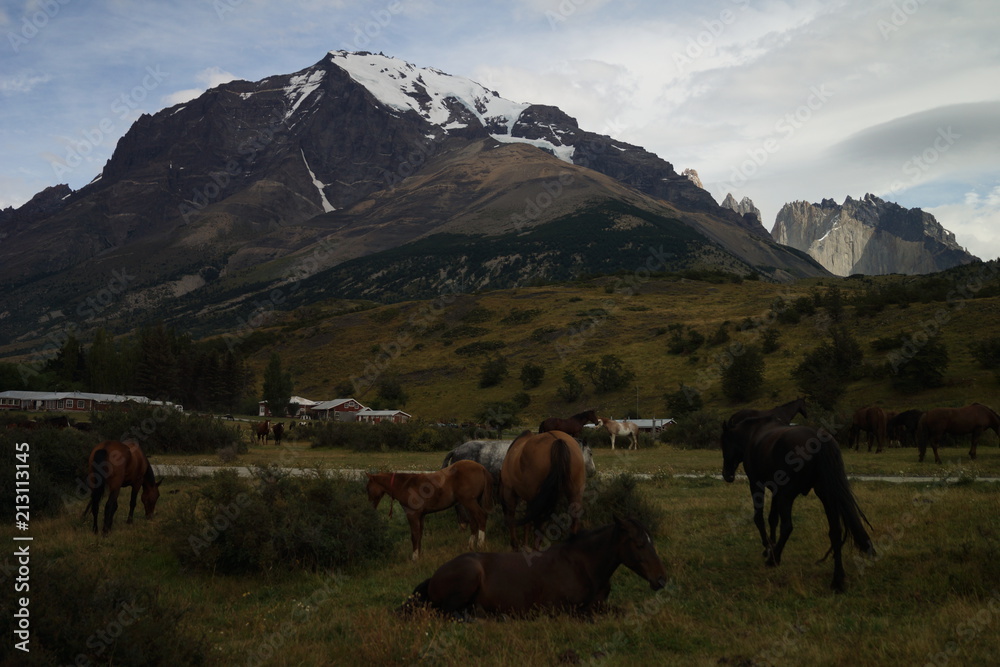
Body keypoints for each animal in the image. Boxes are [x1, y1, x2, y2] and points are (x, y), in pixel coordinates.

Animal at [406, 516, 672, 620]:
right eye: (639, 544)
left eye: (651, 541)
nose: (661, 579)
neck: (583, 566)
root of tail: (433, 577)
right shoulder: (564, 609)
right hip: (468, 578)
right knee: (449, 613)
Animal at [720, 414, 876, 592]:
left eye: (724, 443)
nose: (726, 474)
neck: (754, 433)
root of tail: (819, 441)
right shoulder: (776, 490)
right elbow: (772, 519)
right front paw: (771, 545)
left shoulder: (757, 484)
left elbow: (759, 518)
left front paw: (768, 547)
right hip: (826, 496)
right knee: (835, 532)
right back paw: (837, 580)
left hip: (788, 496)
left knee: (787, 527)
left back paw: (774, 560)